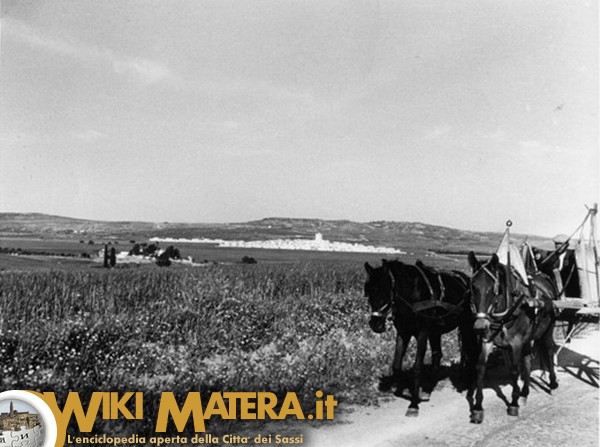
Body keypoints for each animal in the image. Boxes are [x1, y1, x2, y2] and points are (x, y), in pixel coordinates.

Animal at [364, 259, 476, 416]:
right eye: (369, 293)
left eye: (385, 290)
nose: (376, 325)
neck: (412, 295)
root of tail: (466, 280)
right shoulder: (403, 333)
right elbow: (396, 365)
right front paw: (403, 388)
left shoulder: (422, 333)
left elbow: (417, 368)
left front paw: (413, 404)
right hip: (436, 331)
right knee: (438, 355)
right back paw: (428, 390)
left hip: (466, 326)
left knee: (470, 350)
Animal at [466, 252, 558, 424]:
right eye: (473, 287)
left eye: (493, 289)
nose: (480, 325)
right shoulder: (488, 341)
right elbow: (481, 367)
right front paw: (478, 408)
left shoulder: (516, 343)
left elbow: (515, 370)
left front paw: (514, 403)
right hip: (529, 337)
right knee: (528, 360)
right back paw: (525, 392)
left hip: (547, 331)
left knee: (549, 351)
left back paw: (553, 383)